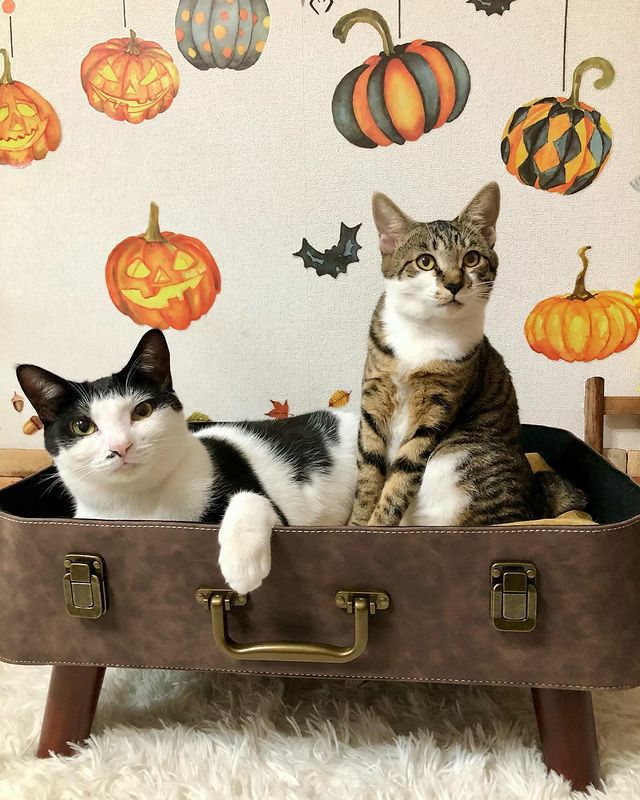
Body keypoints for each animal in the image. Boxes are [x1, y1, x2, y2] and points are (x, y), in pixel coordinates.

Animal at [16, 329, 358, 594]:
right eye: (82, 426)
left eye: (142, 411)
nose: (120, 446)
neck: (139, 505)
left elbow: (250, 498)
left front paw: (241, 566)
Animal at [349, 182, 585, 527]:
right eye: (425, 261)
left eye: (472, 258)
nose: (454, 283)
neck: (425, 330)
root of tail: (536, 502)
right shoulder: (375, 396)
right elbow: (368, 471)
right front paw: (356, 525)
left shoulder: (437, 407)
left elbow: (402, 475)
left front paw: (378, 527)